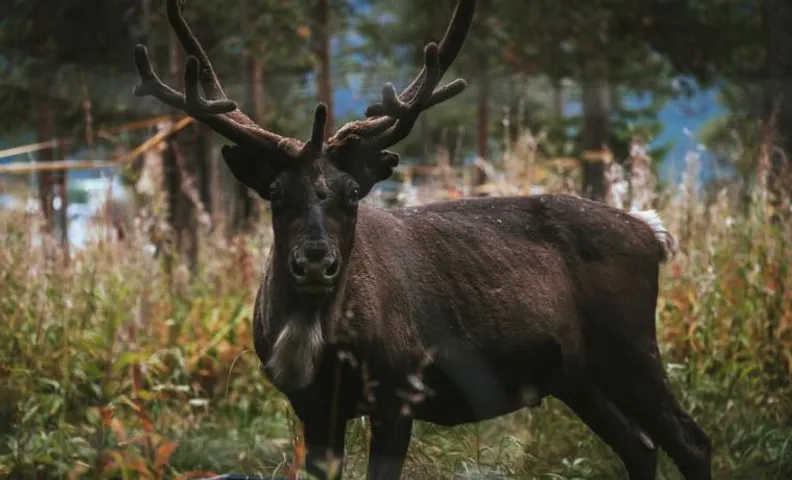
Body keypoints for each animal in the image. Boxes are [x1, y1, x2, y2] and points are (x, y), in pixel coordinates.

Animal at [132, 1, 712, 479]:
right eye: (274, 192)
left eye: (352, 193)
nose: (315, 262)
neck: (315, 335)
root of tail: (650, 232)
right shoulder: (312, 404)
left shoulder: (400, 391)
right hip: (577, 375)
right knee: (640, 446)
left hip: (630, 344)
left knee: (691, 441)